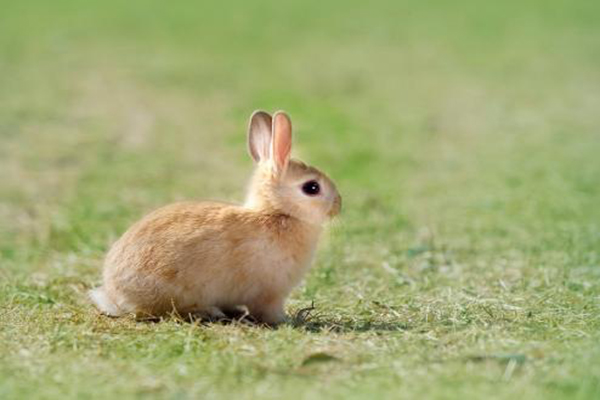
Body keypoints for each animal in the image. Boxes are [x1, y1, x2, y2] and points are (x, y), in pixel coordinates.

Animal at [90, 109, 342, 324]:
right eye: (312, 188)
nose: (338, 205)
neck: (277, 213)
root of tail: (114, 295)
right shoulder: (269, 294)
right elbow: (268, 311)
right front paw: (289, 320)